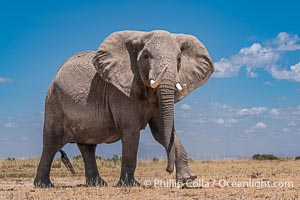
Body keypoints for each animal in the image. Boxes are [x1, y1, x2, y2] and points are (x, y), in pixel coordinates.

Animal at [34, 30, 214, 188]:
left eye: (179, 58)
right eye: (146, 56)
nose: (168, 170)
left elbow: (162, 131)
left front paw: (188, 179)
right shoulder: (120, 92)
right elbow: (131, 131)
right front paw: (130, 184)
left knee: (87, 146)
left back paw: (98, 184)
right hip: (54, 100)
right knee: (51, 142)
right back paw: (44, 185)